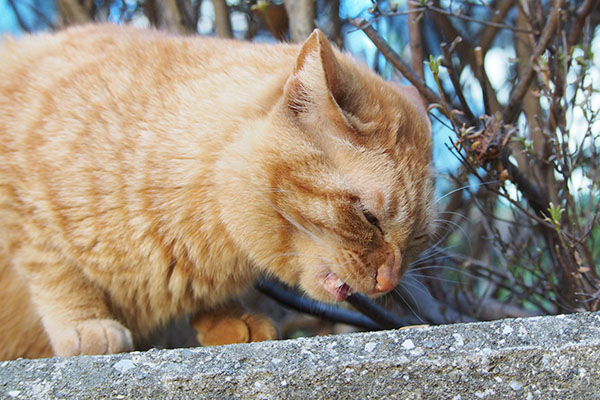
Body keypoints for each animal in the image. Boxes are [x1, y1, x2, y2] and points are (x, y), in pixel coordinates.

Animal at [0, 23, 434, 360]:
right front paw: (85, 324)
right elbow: (56, 271)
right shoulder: (20, 206)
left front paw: (229, 319)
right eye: (369, 218)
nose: (388, 282)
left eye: (416, 240)